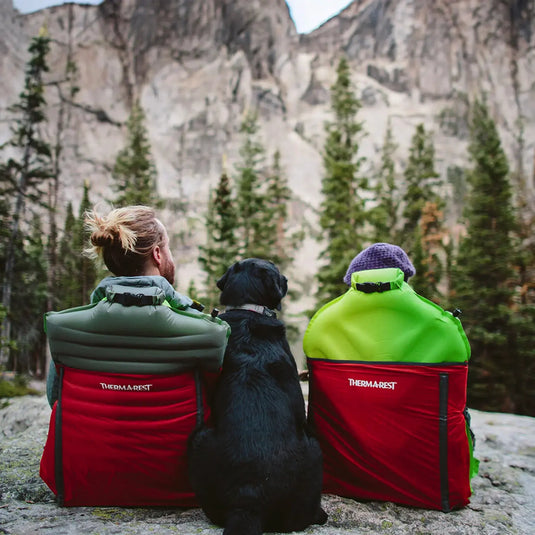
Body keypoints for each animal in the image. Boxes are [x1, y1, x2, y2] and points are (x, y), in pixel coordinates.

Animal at [188, 260, 330, 535]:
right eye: (276, 269)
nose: (285, 279)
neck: (248, 309)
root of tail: (249, 497)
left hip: (199, 439)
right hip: (315, 449)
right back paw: (320, 514)